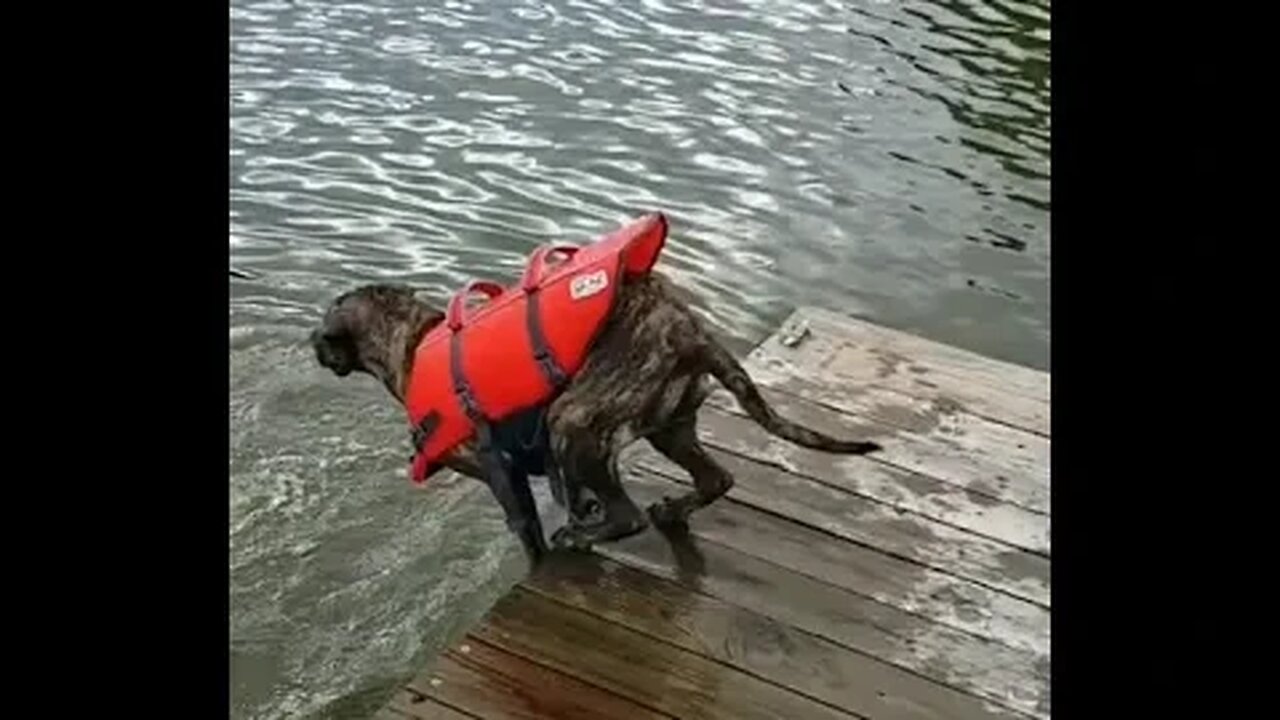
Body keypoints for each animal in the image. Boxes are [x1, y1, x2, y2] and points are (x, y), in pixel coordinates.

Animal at [314, 269, 885, 556]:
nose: (313, 346)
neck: (411, 343)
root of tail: (693, 335)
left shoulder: (500, 473)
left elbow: (529, 533)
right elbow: (576, 497)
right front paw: (582, 514)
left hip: (572, 420)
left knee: (629, 515)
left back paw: (587, 535)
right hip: (668, 426)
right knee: (715, 478)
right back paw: (669, 511)